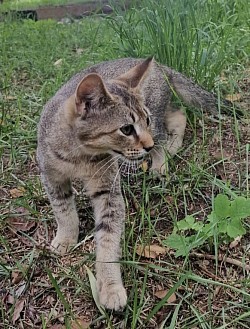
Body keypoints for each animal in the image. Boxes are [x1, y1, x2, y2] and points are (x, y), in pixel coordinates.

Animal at [36, 57, 235, 310]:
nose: (147, 146)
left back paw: (162, 159)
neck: (79, 156)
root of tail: (160, 64)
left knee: (171, 125)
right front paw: (66, 238)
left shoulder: (108, 192)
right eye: (127, 129)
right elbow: (63, 212)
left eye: (145, 120)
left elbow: (108, 240)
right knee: (179, 115)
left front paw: (110, 286)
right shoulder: (52, 178)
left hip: (158, 121)